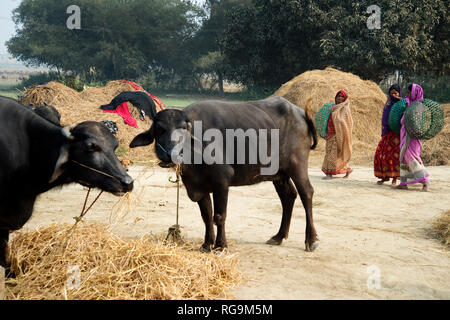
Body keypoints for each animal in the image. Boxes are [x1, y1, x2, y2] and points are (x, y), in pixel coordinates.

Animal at [130, 96, 320, 251]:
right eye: (160, 129)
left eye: (183, 128)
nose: (170, 154)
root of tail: (300, 113)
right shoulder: (199, 186)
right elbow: (206, 216)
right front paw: (207, 244)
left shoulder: (221, 181)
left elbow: (219, 216)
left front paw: (220, 245)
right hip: (279, 174)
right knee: (289, 196)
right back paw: (278, 236)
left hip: (297, 165)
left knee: (306, 193)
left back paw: (311, 240)